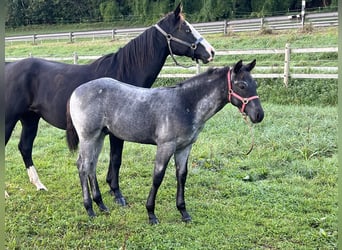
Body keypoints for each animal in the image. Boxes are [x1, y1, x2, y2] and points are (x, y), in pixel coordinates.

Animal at [4, 2, 214, 200]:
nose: (211, 52)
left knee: (25, 147)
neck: (124, 70)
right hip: (9, 120)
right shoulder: (116, 132)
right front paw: (116, 192)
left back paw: (39, 185)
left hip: (30, 119)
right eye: (186, 29)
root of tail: (8, 67)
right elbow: (116, 158)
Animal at [66, 59, 264, 224]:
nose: (259, 115)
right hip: (88, 137)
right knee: (83, 166)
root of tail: (75, 91)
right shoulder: (166, 146)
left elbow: (181, 176)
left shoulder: (184, 147)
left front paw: (184, 213)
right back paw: (90, 209)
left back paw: (101, 205)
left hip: (99, 136)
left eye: (255, 84)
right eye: (242, 85)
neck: (186, 104)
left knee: (91, 166)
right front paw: (151, 214)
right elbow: (157, 177)